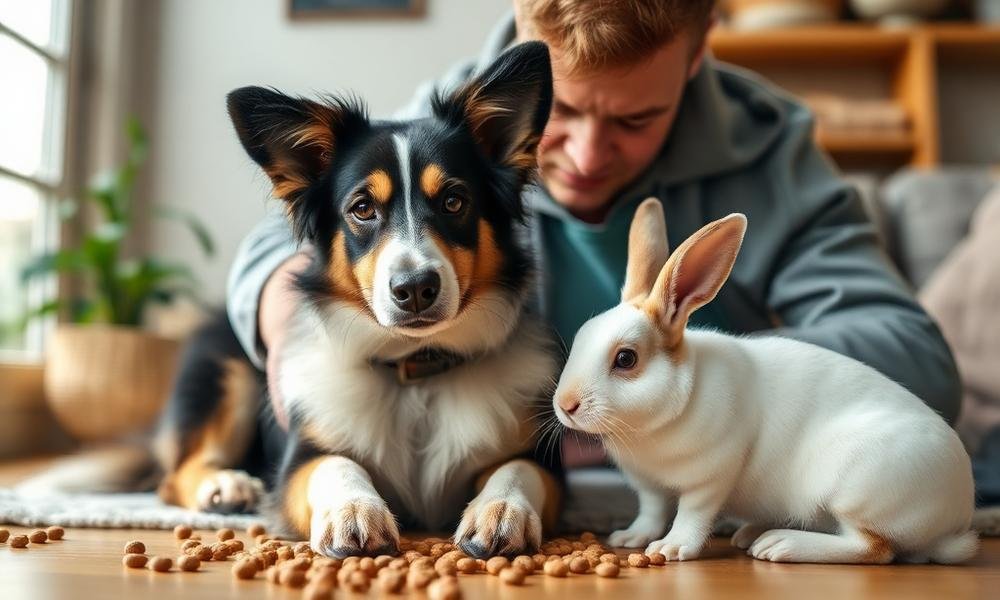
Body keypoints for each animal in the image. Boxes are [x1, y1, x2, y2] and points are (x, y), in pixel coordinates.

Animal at [551, 198, 977, 564]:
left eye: (626, 359)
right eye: (581, 337)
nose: (565, 405)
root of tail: (955, 515)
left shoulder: (710, 476)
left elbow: (692, 514)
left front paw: (671, 548)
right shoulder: (649, 487)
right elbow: (652, 512)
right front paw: (629, 537)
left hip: (853, 488)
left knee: (874, 547)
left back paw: (778, 545)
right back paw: (751, 533)